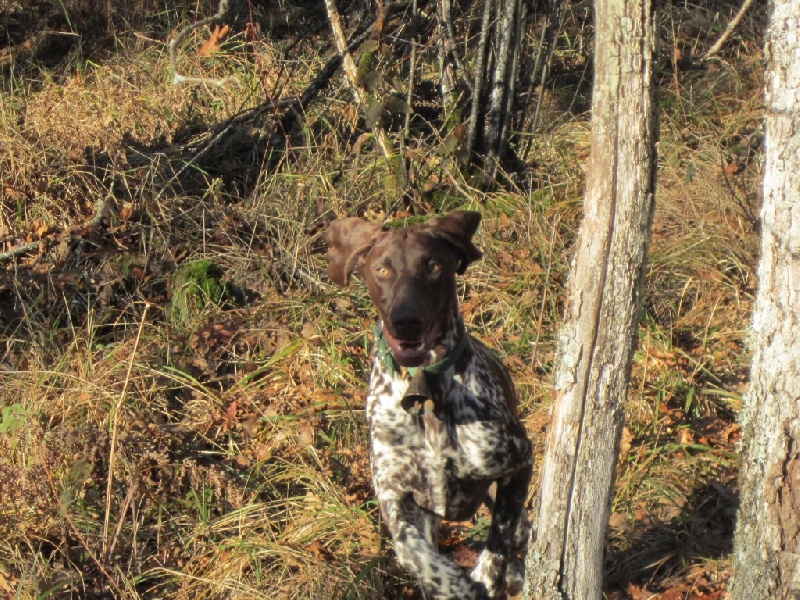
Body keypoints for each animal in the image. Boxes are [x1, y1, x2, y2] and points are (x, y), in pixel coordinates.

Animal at [328, 210, 536, 596]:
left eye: (433, 266)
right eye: (382, 269)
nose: (406, 321)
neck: (424, 385)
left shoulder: (519, 459)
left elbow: (499, 537)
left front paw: (487, 575)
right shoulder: (396, 497)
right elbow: (414, 554)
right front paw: (457, 585)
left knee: (518, 530)